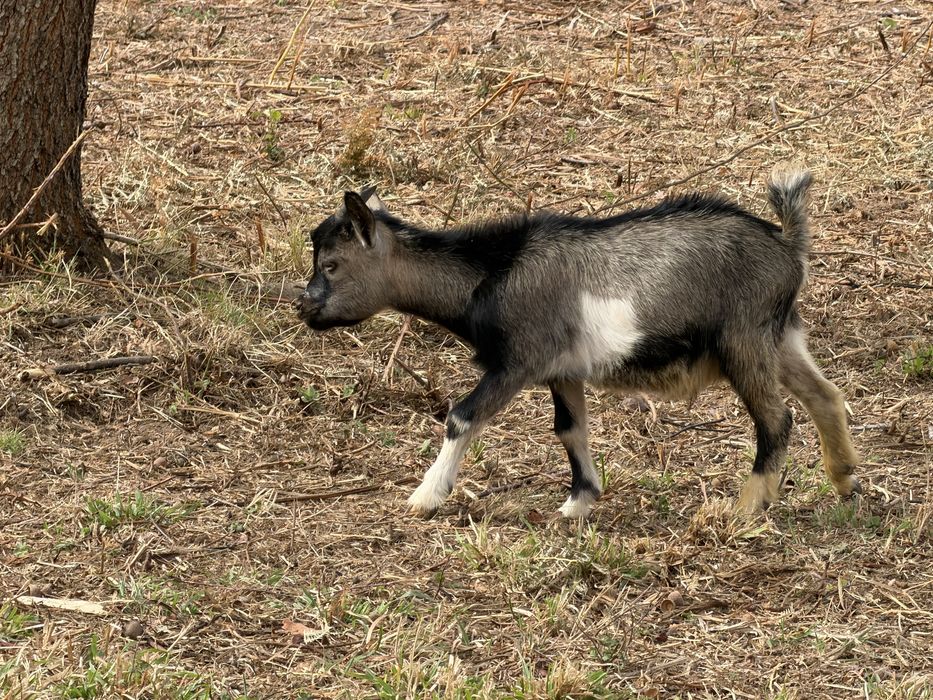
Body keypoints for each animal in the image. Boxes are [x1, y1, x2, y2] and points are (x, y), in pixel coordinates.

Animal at [295, 168, 860, 519]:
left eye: (332, 265)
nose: (305, 307)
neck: (493, 271)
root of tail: (787, 244)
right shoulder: (562, 370)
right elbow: (570, 430)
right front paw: (578, 503)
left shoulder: (518, 361)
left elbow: (462, 416)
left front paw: (425, 496)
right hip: (780, 335)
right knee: (825, 396)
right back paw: (845, 480)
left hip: (743, 341)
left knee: (777, 419)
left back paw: (743, 508)